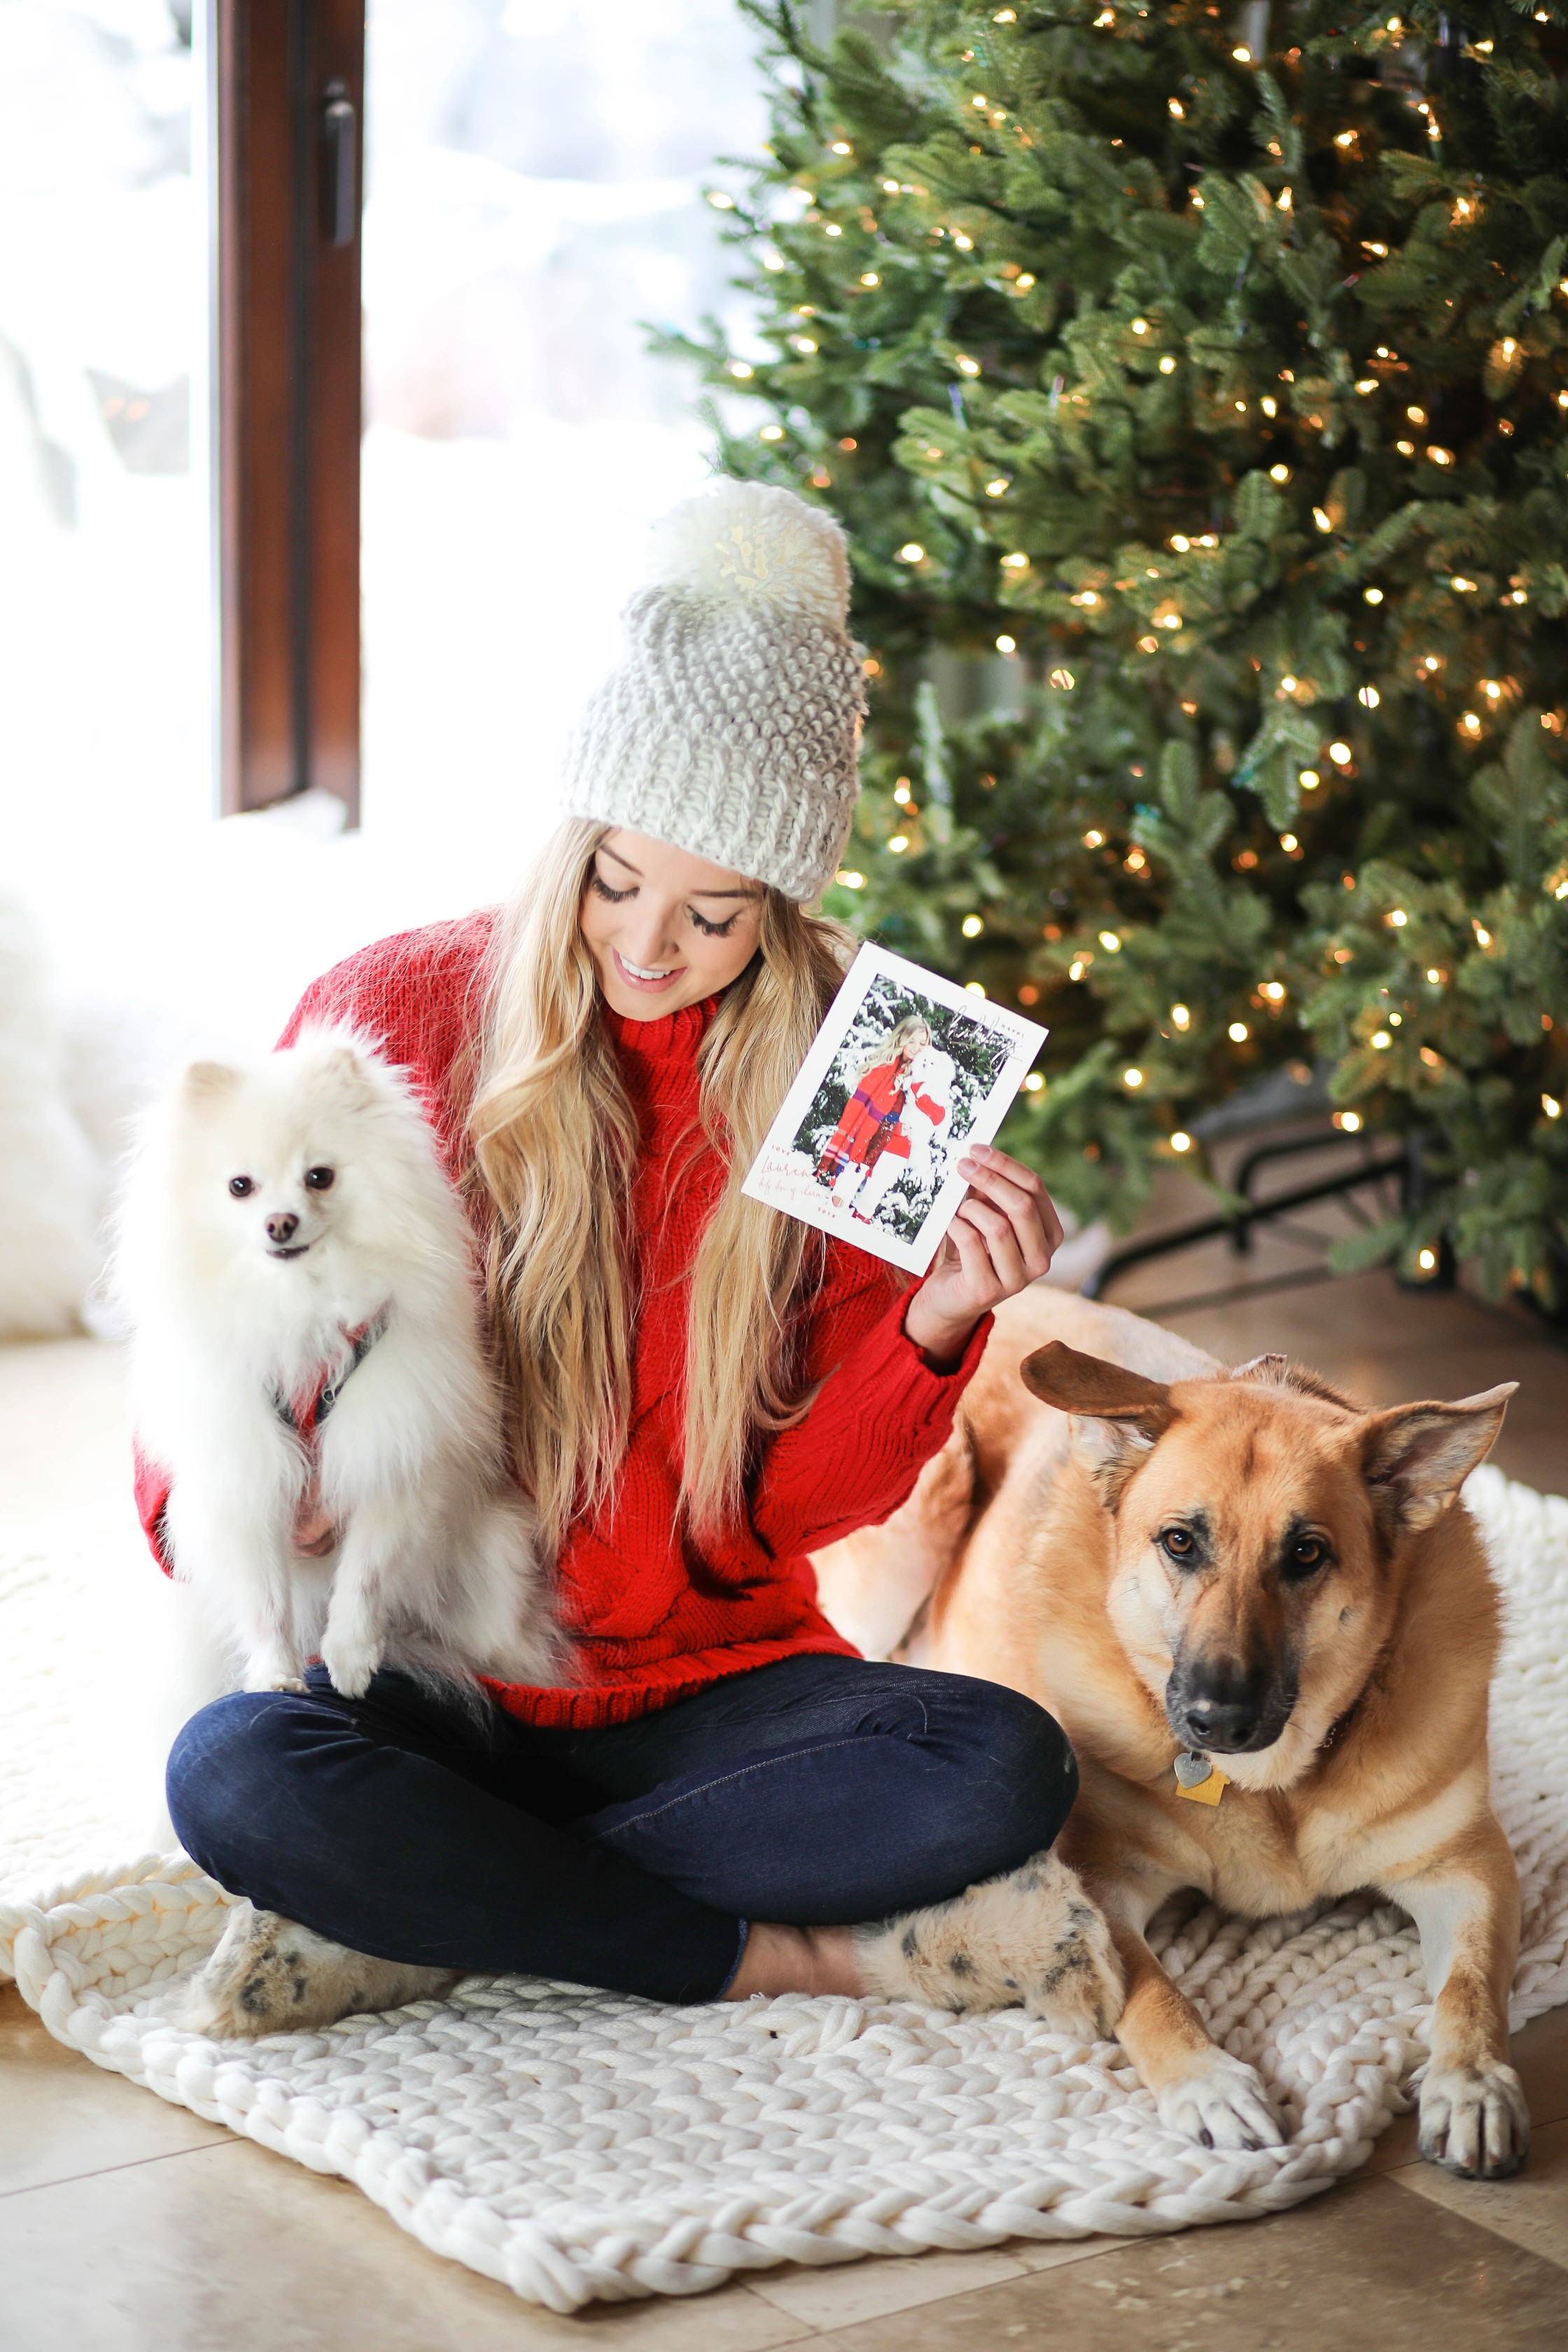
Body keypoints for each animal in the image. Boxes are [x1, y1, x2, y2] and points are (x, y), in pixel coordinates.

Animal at [118, 1021, 556, 1702]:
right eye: (240, 1186)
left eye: (319, 1176)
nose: (280, 1223)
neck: (304, 1301)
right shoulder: (246, 1475)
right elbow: (263, 1598)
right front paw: (277, 1673)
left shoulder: (391, 1454)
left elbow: (365, 1577)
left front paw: (349, 1657)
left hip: (495, 1551)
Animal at [818, 1298, 1523, 2173]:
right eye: (1179, 1542)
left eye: (1306, 1553)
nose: (1217, 1719)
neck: (1273, 1787)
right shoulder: (1100, 1877)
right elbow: (1151, 1991)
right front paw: (1207, 2082)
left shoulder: (1467, 1868)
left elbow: (1470, 1984)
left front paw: (1470, 2082)